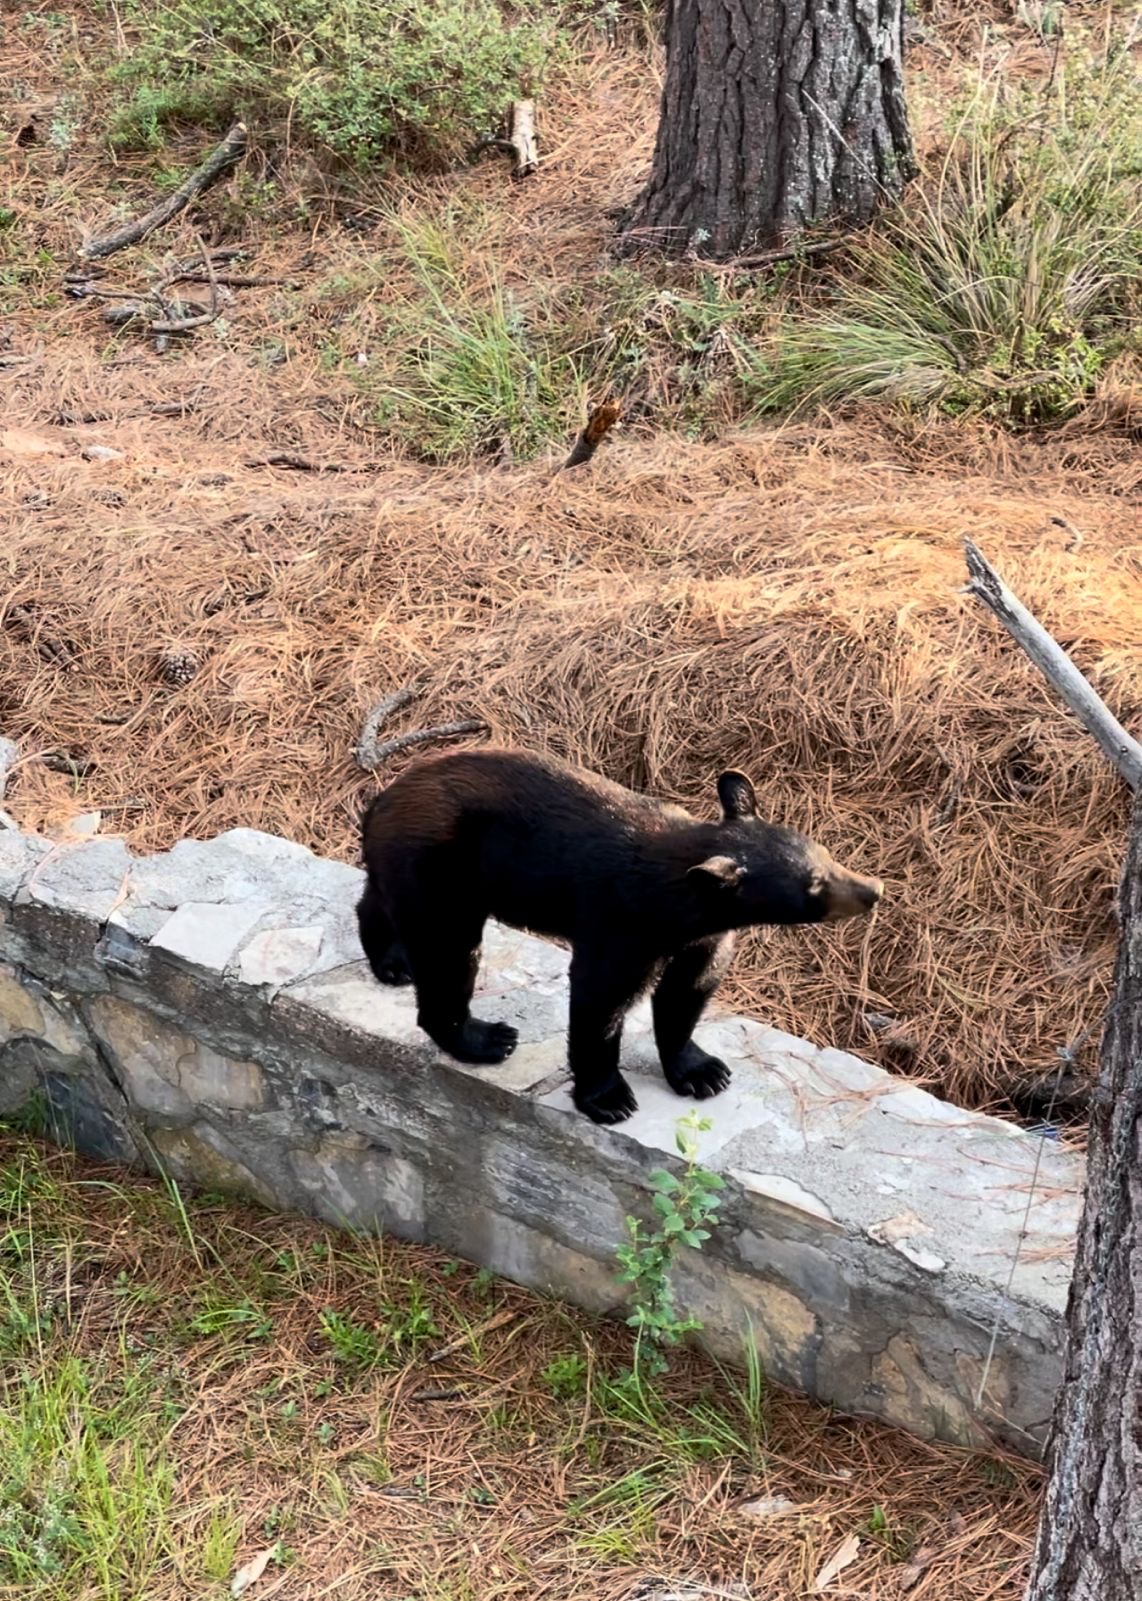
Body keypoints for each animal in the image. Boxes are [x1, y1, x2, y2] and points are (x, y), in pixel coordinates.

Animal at [356, 748, 883, 1125]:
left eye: (827, 853)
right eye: (813, 885)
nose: (872, 890)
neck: (677, 898)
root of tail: (379, 799)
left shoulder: (703, 936)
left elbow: (688, 990)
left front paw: (703, 1072)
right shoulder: (621, 922)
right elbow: (602, 1000)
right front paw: (609, 1098)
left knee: (380, 902)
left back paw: (392, 961)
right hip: (441, 868)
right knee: (448, 951)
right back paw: (484, 1038)